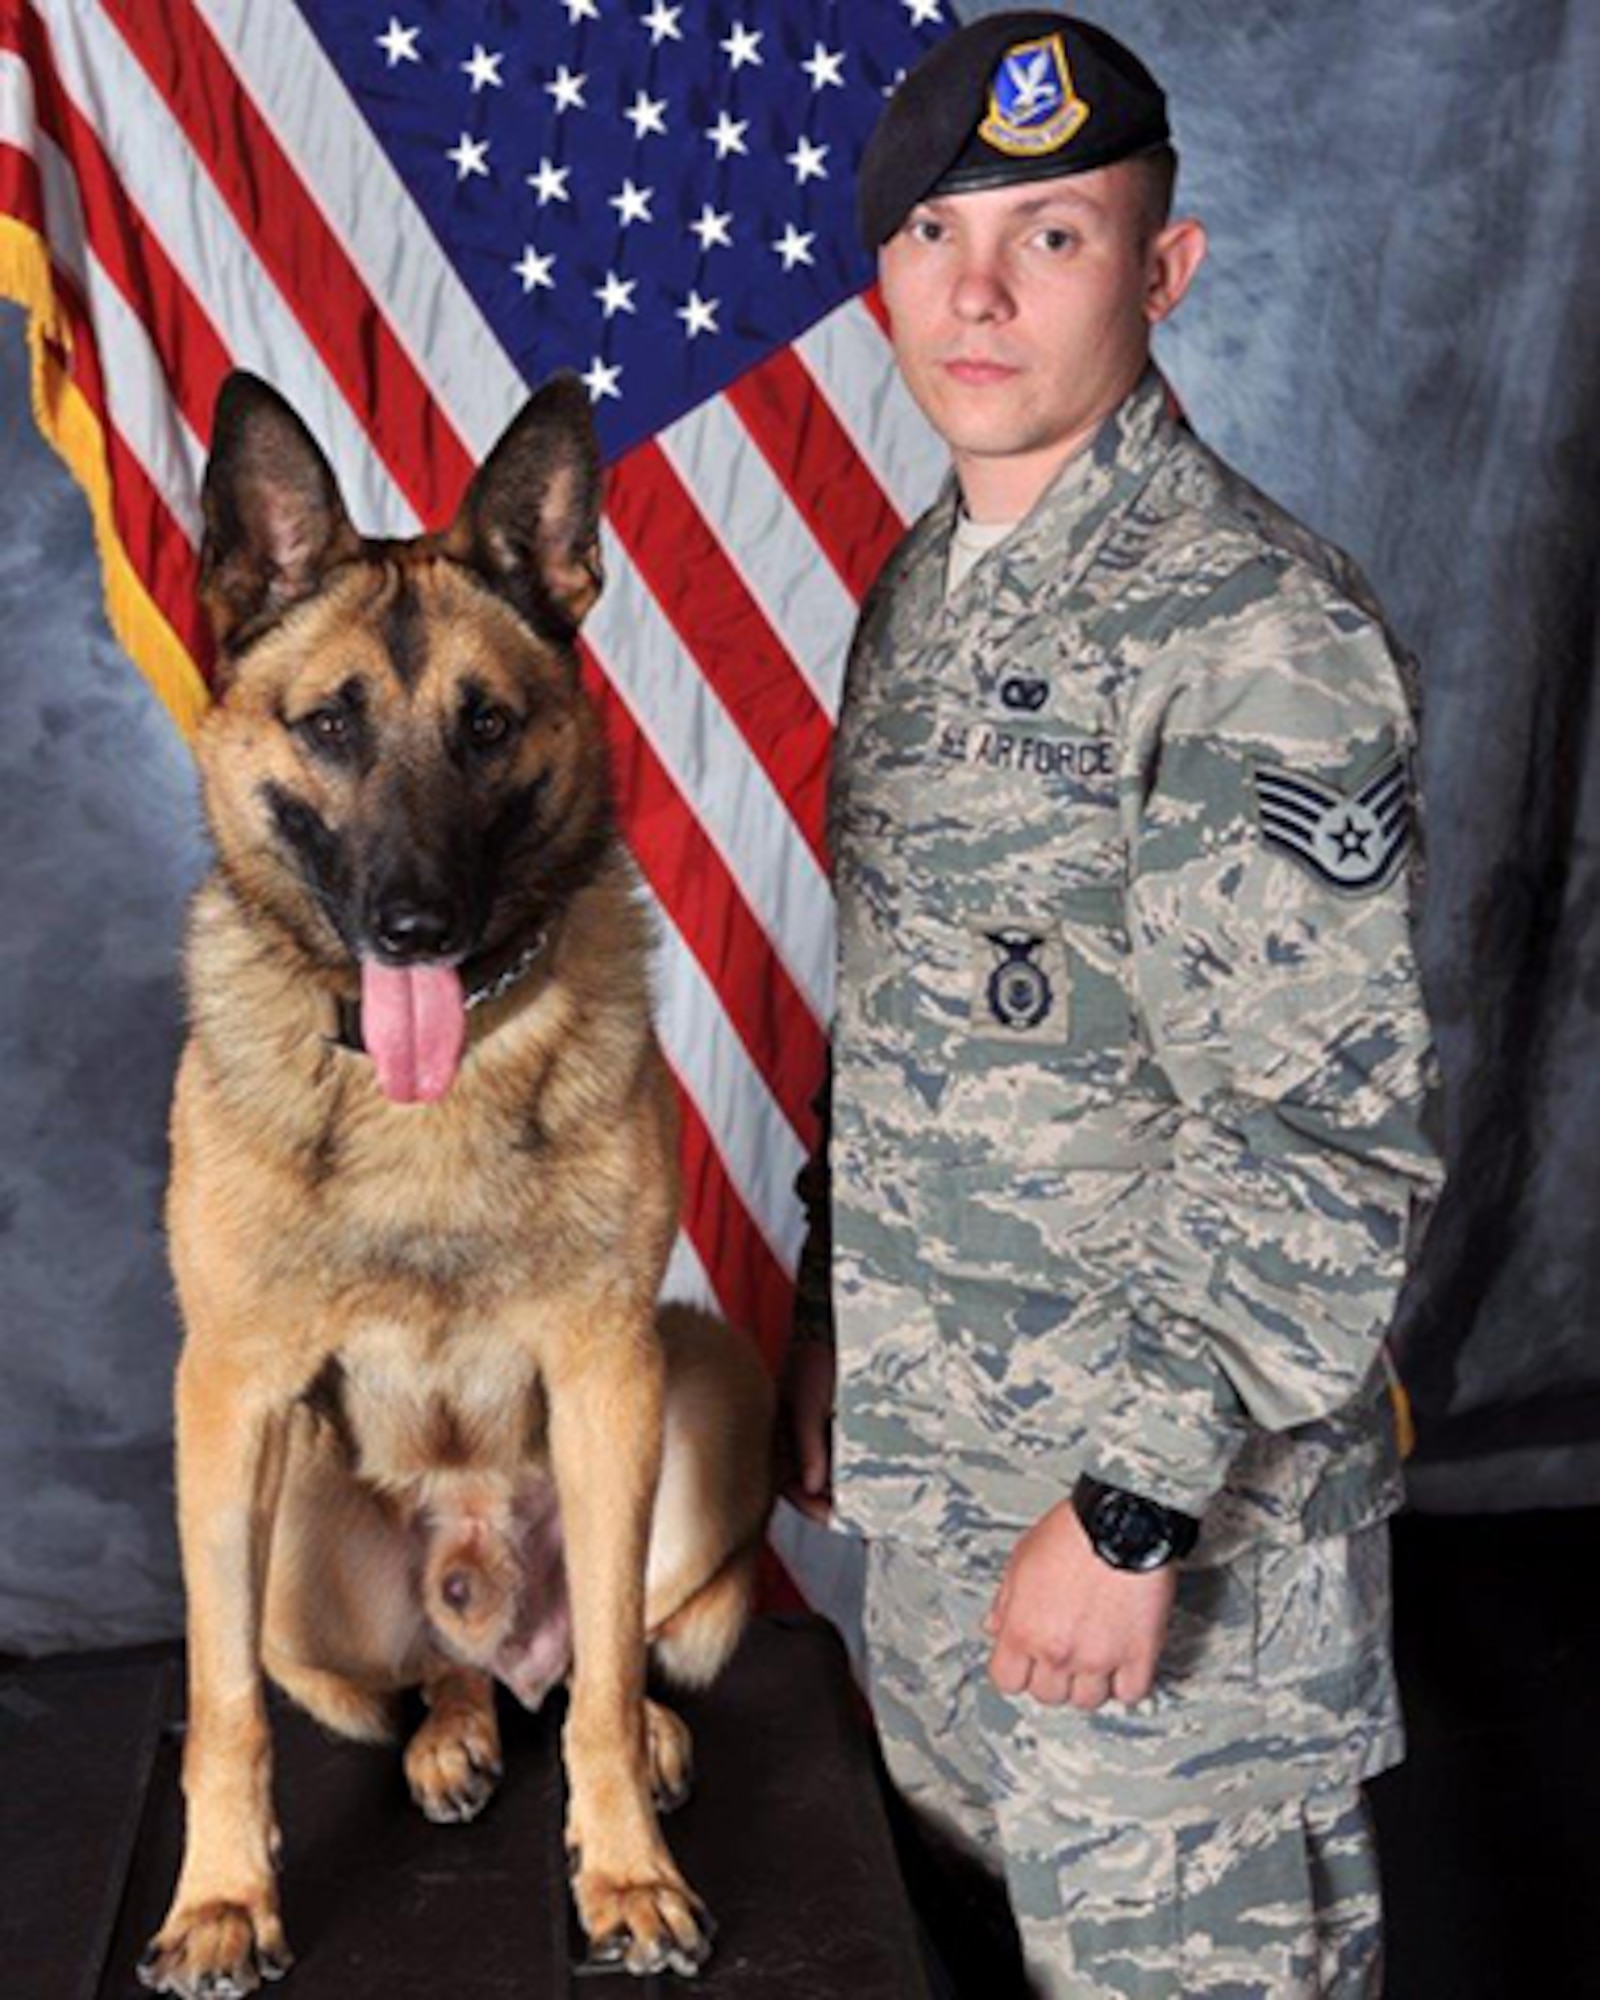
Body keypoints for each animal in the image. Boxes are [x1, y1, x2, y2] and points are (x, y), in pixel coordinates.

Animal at [141, 376, 780, 2000]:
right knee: (445, 1674)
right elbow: (221, 1707)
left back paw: (634, 1735)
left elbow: (605, 1681)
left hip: (703, 1373)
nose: (416, 926)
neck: (415, 1097)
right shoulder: (226, 1391)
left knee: (606, 1653)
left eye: (486, 727)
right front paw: (221, 1897)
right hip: (294, 1531)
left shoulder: (607, 1365)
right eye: (330, 725)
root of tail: (496, 1602)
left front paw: (626, 1875)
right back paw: (449, 1730)